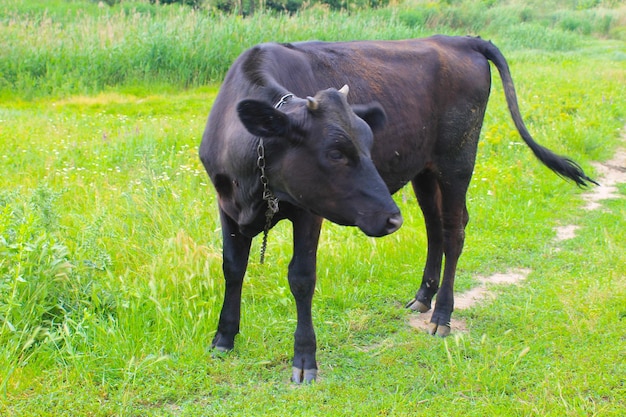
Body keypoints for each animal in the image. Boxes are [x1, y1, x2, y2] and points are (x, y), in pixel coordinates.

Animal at [200, 34, 596, 382]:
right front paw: (224, 338)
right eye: (335, 153)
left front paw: (304, 359)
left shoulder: (310, 210)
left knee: (454, 232)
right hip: (424, 169)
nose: (392, 219)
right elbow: (232, 267)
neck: (254, 182)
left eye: (367, 143)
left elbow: (301, 278)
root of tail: (461, 39)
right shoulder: (227, 205)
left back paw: (442, 314)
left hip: (457, 161)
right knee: (435, 228)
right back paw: (423, 297)